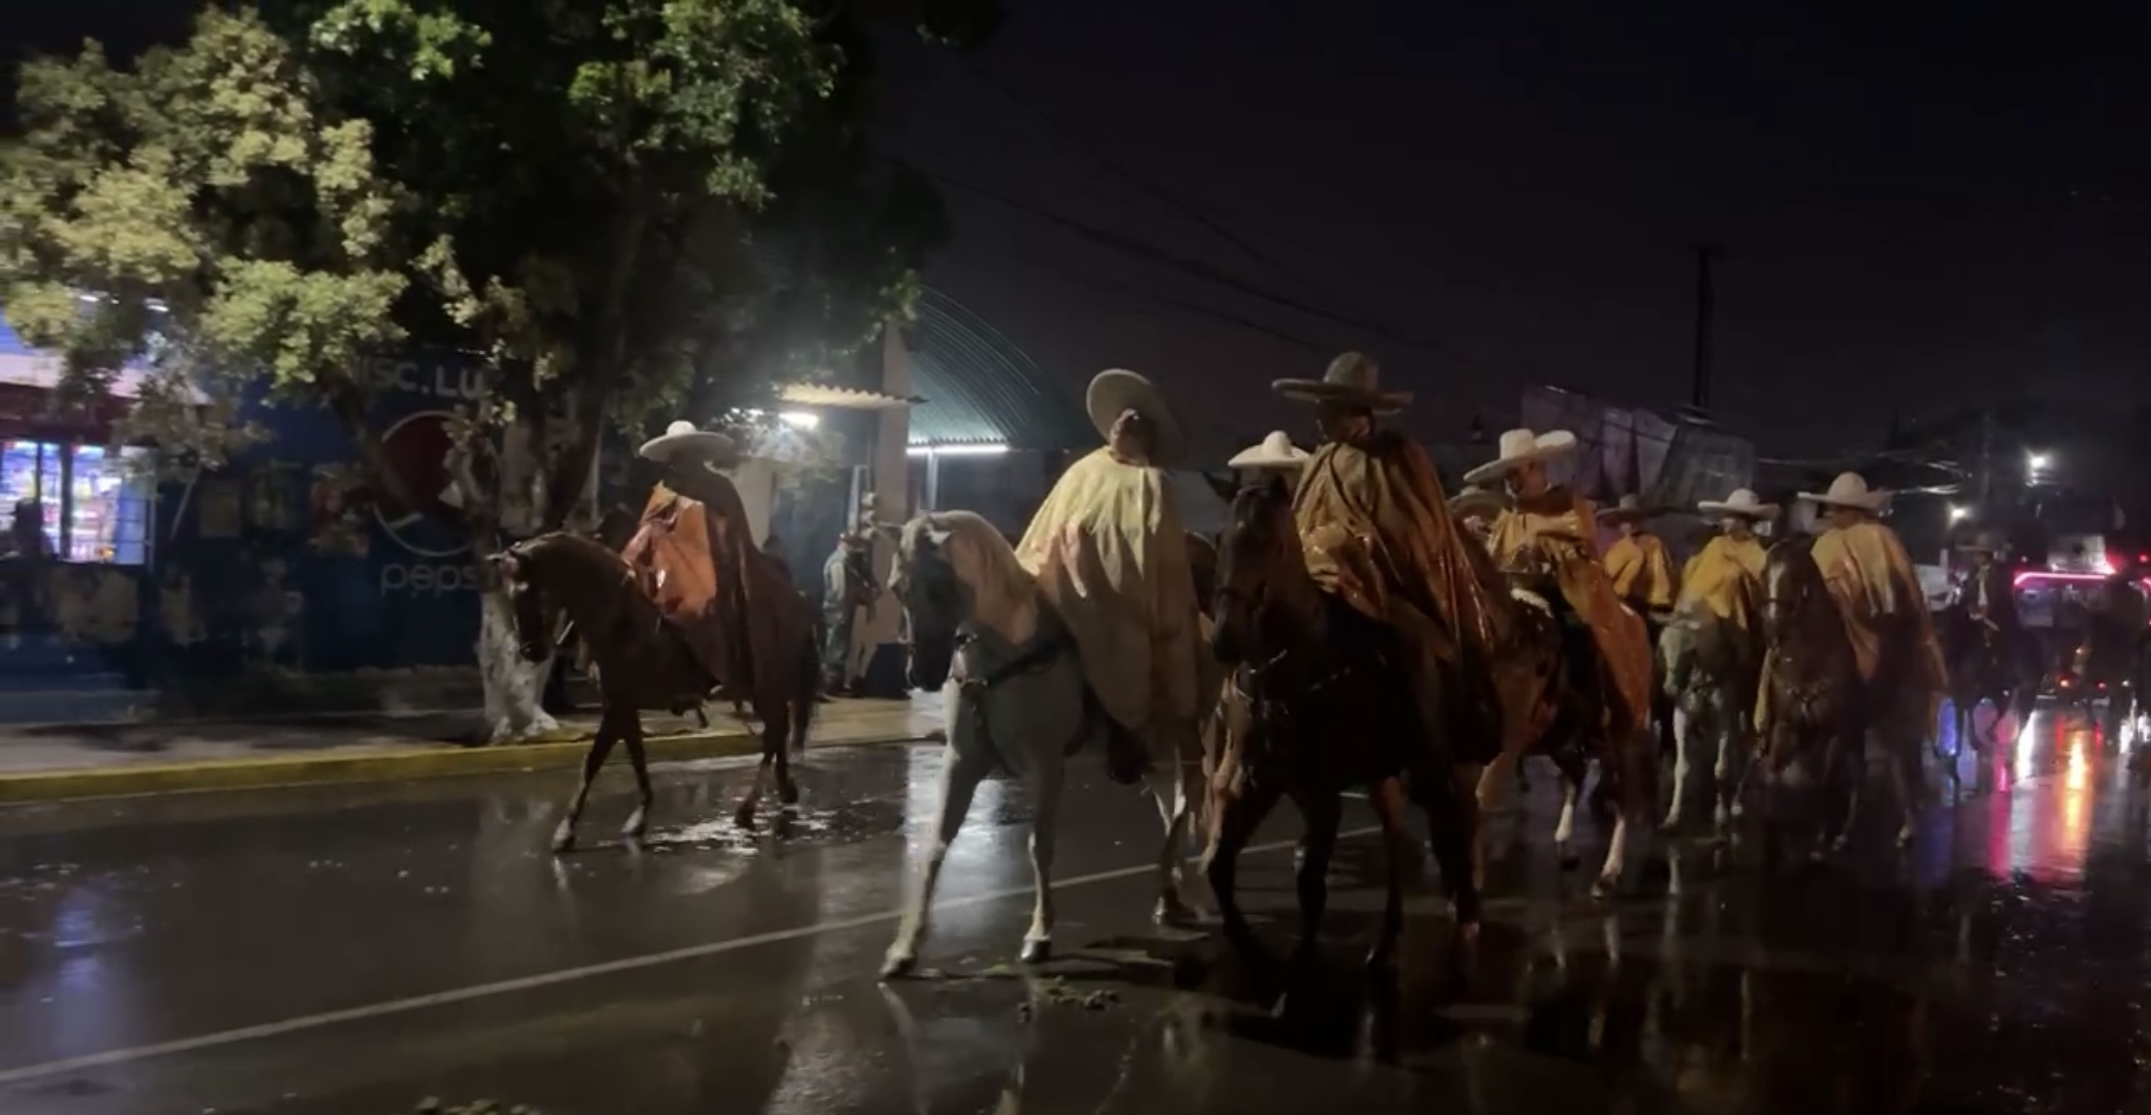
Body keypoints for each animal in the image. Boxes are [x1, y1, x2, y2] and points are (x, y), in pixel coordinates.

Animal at [492, 533, 817, 856]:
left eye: (529, 592)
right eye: (508, 596)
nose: (530, 651)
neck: (618, 619)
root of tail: (798, 599)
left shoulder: (617, 706)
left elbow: (592, 762)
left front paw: (564, 832)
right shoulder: (623, 706)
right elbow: (636, 757)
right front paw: (638, 817)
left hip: (764, 689)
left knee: (773, 735)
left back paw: (748, 808)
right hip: (766, 690)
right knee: (777, 734)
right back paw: (783, 791)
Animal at [877, 514, 1213, 981]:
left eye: (941, 586)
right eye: (896, 588)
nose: (920, 673)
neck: (1002, 658)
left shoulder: (1047, 766)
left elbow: (1040, 846)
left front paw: (1039, 935)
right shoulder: (961, 762)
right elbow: (935, 846)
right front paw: (905, 948)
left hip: (1178, 735)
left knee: (1186, 802)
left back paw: (1180, 888)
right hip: (1155, 751)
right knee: (1170, 807)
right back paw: (1169, 895)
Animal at [1204, 475, 1488, 972]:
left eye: (1271, 542)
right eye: (1221, 539)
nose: (1225, 638)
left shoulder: (1319, 791)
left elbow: (1310, 878)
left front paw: (1299, 958)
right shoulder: (1257, 779)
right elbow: (1222, 867)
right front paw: (1255, 948)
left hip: (1432, 761)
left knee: (1454, 817)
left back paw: (1459, 920)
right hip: (1382, 773)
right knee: (1395, 829)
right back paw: (1387, 939)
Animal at [1660, 598, 1763, 835]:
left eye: (1688, 652)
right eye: (1663, 649)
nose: (1669, 688)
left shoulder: (1723, 716)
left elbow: (1721, 768)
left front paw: (1721, 814)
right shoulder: (1682, 717)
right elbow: (1682, 768)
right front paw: (1673, 816)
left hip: (1745, 703)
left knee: (1743, 747)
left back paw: (1736, 802)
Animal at [1746, 538, 1867, 861]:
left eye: (1794, 576)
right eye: (1763, 575)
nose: (1772, 628)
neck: (1809, 663)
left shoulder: (1835, 732)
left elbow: (1825, 785)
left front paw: (1820, 842)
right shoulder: (1785, 727)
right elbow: (1773, 780)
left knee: (1854, 780)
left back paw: (1843, 835)